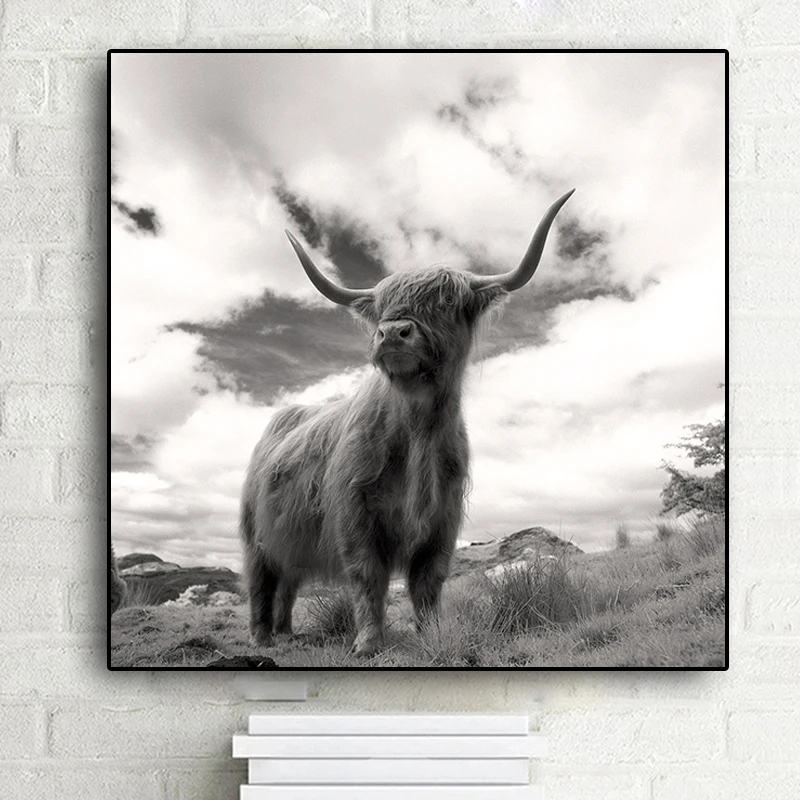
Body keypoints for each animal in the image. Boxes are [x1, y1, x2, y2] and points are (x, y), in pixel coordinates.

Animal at [241, 189, 574, 656]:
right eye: (381, 307)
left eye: (446, 303)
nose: (392, 332)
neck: (418, 429)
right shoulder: (354, 511)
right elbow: (368, 576)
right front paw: (367, 643)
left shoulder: (443, 518)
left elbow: (428, 582)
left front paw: (434, 633)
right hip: (255, 535)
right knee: (261, 582)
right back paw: (262, 639)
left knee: (288, 582)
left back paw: (287, 633)